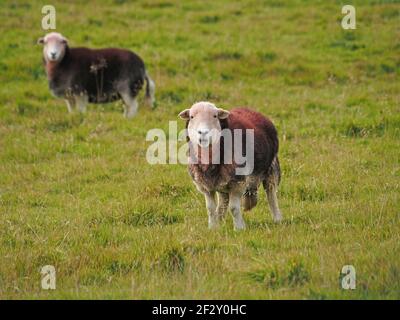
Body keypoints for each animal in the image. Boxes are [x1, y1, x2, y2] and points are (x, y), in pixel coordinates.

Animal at [178, 102, 282, 230]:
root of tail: (251, 110)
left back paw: (277, 218)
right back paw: (220, 221)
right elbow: (210, 209)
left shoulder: (237, 183)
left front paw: (239, 228)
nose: (203, 133)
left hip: (271, 169)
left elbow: (234, 208)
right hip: (222, 182)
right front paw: (213, 228)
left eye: (215, 116)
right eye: (191, 117)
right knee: (223, 203)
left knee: (271, 194)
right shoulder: (206, 186)